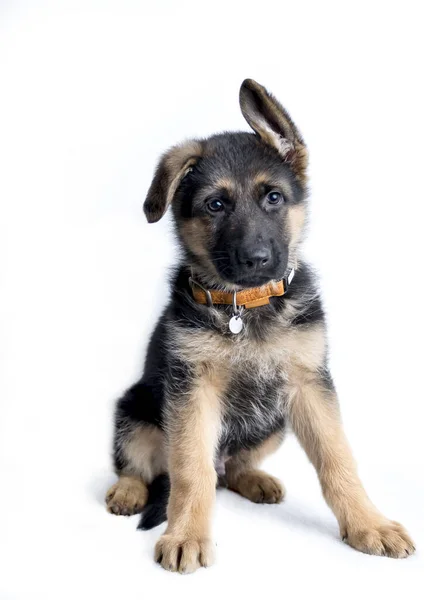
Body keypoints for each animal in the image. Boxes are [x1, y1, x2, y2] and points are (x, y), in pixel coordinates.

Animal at [105, 79, 414, 572]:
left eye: (274, 198)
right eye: (215, 205)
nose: (257, 260)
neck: (244, 308)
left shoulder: (310, 385)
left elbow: (337, 458)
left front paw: (369, 524)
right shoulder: (192, 390)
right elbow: (190, 469)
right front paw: (186, 534)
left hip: (274, 423)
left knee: (230, 468)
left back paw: (254, 480)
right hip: (133, 409)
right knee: (143, 464)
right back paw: (128, 491)